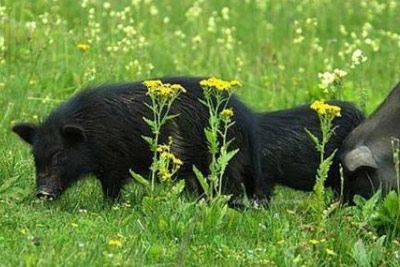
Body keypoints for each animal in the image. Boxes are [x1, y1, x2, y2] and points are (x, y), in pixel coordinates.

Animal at [11, 77, 268, 203]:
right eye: (35, 156)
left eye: (60, 154)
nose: (41, 193)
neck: (92, 133)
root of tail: (248, 121)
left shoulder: (115, 163)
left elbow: (112, 188)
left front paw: (110, 207)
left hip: (223, 160)